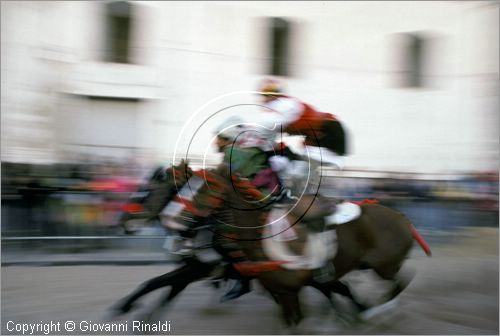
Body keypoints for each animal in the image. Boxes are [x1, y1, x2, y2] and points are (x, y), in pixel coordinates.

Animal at [112, 161, 430, 332]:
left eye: (149, 189)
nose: (126, 221)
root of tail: (402, 218)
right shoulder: (198, 269)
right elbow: (159, 286)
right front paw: (134, 312)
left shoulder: (199, 269)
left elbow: (160, 285)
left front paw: (132, 310)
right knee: (346, 289)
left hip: (383, 265)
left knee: (397, 282)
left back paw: (377, 312)